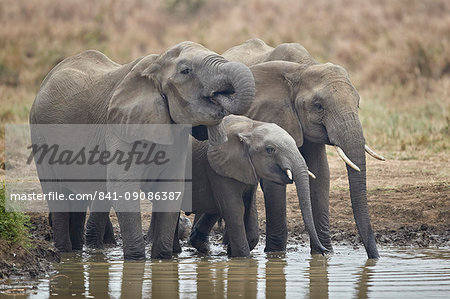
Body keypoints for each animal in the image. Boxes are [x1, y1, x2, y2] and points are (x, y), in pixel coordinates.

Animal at [29, 41, 256, 262]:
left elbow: (172, 187)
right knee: (56, 193)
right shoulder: (119, 126)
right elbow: (122, 186)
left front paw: (162, 259)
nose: (218, 96)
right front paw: (136, 260)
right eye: (186, 71)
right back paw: (65, 252)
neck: (154, 66)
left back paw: (79, 252)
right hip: (38, 132)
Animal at [149, 115, 328, 258]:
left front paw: (232, 252)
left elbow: (248, 208)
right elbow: (235, 209)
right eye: (270, 150)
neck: (250, 127)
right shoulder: (217, 168)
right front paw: (242, 257)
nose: (324, 252)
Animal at [192, 39, 384, 260]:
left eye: (358, 104)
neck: (303, 68)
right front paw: (276, 254)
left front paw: (325, 254)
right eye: (319, 106)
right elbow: (274, 183)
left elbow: (320, 173)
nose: (374, 257)